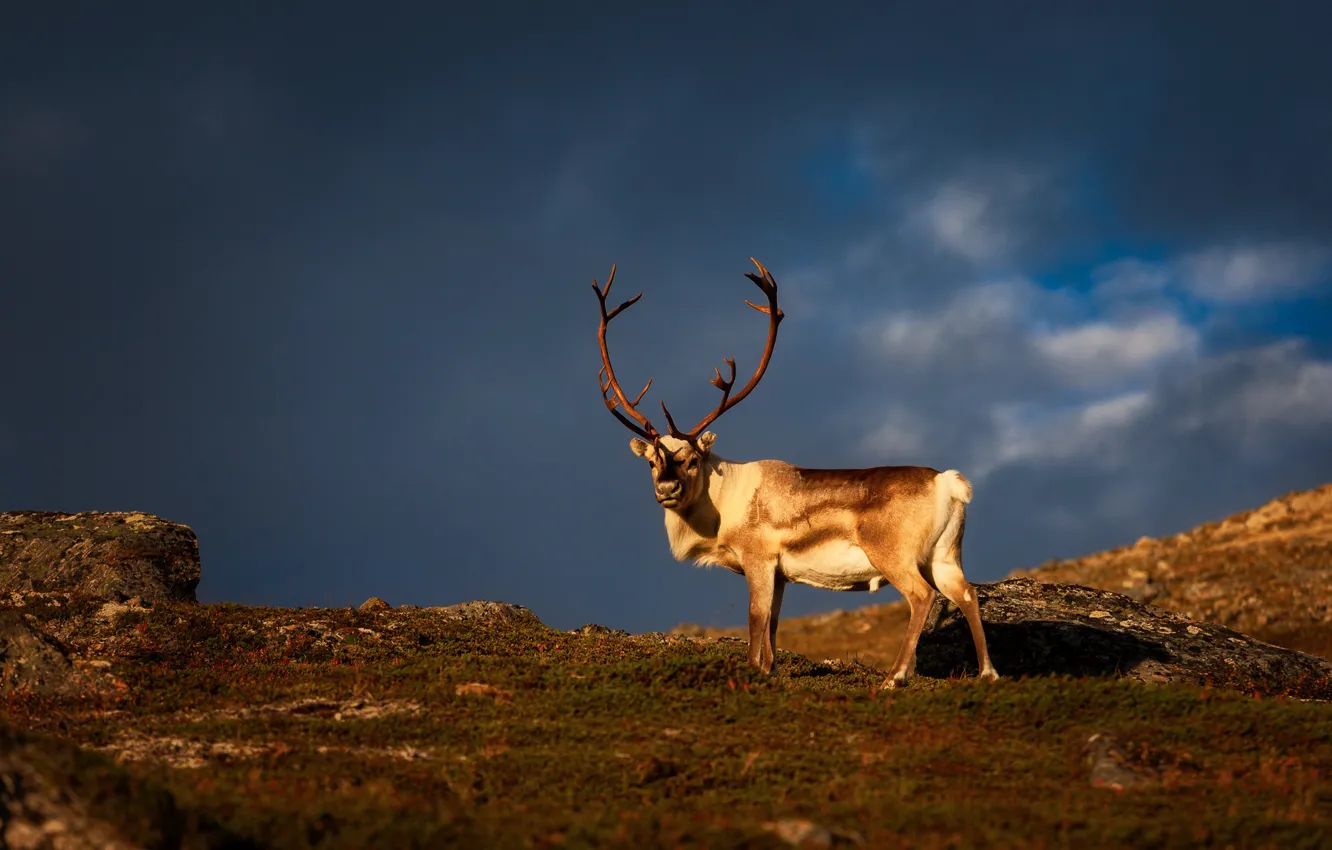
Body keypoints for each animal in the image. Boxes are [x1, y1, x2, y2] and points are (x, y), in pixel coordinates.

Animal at [591, 258, 999, 689]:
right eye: (652, 461)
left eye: (691, 459)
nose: (666, 489)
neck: (720, 509)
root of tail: (947, 483)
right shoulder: (782, 574)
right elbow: (772, 622)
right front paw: (770, 668)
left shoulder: (758, 558)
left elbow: (755, 618)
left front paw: (753, 669)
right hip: (945, 555)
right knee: (968, 594)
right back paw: (987, 673)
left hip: (897, 555)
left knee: (922, 597)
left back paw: (895, 676)